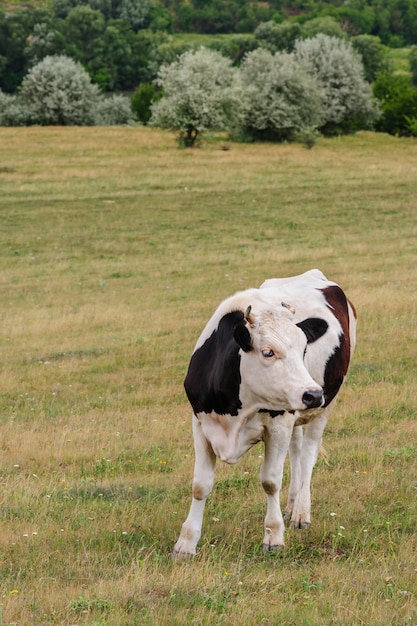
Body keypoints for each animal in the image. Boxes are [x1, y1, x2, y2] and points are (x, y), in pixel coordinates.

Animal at [172, 268, 354, 556]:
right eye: (268, 352)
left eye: (304, 349)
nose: (313, 394)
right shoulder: (199, 423)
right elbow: (200, 485)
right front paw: (186, 543)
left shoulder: (278, 425)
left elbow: (270, 481)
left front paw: (273, 536)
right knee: (297, 449)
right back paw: (291, 505)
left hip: (326, 404)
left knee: (308, 454)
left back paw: (301, 511)